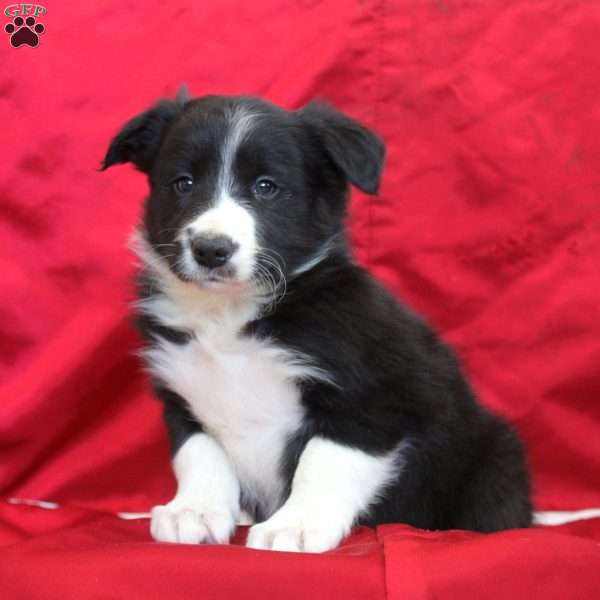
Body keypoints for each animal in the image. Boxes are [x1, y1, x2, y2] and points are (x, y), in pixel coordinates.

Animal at [101, 89, 532, 552]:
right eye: (183, 183)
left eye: (266, 187)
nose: (211, 249)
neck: (230, 314)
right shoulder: (182, 390)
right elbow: (199, 453)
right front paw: (194, 512)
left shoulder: (375, 395)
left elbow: (323, 461)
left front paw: (295, 525)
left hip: (496, 459)